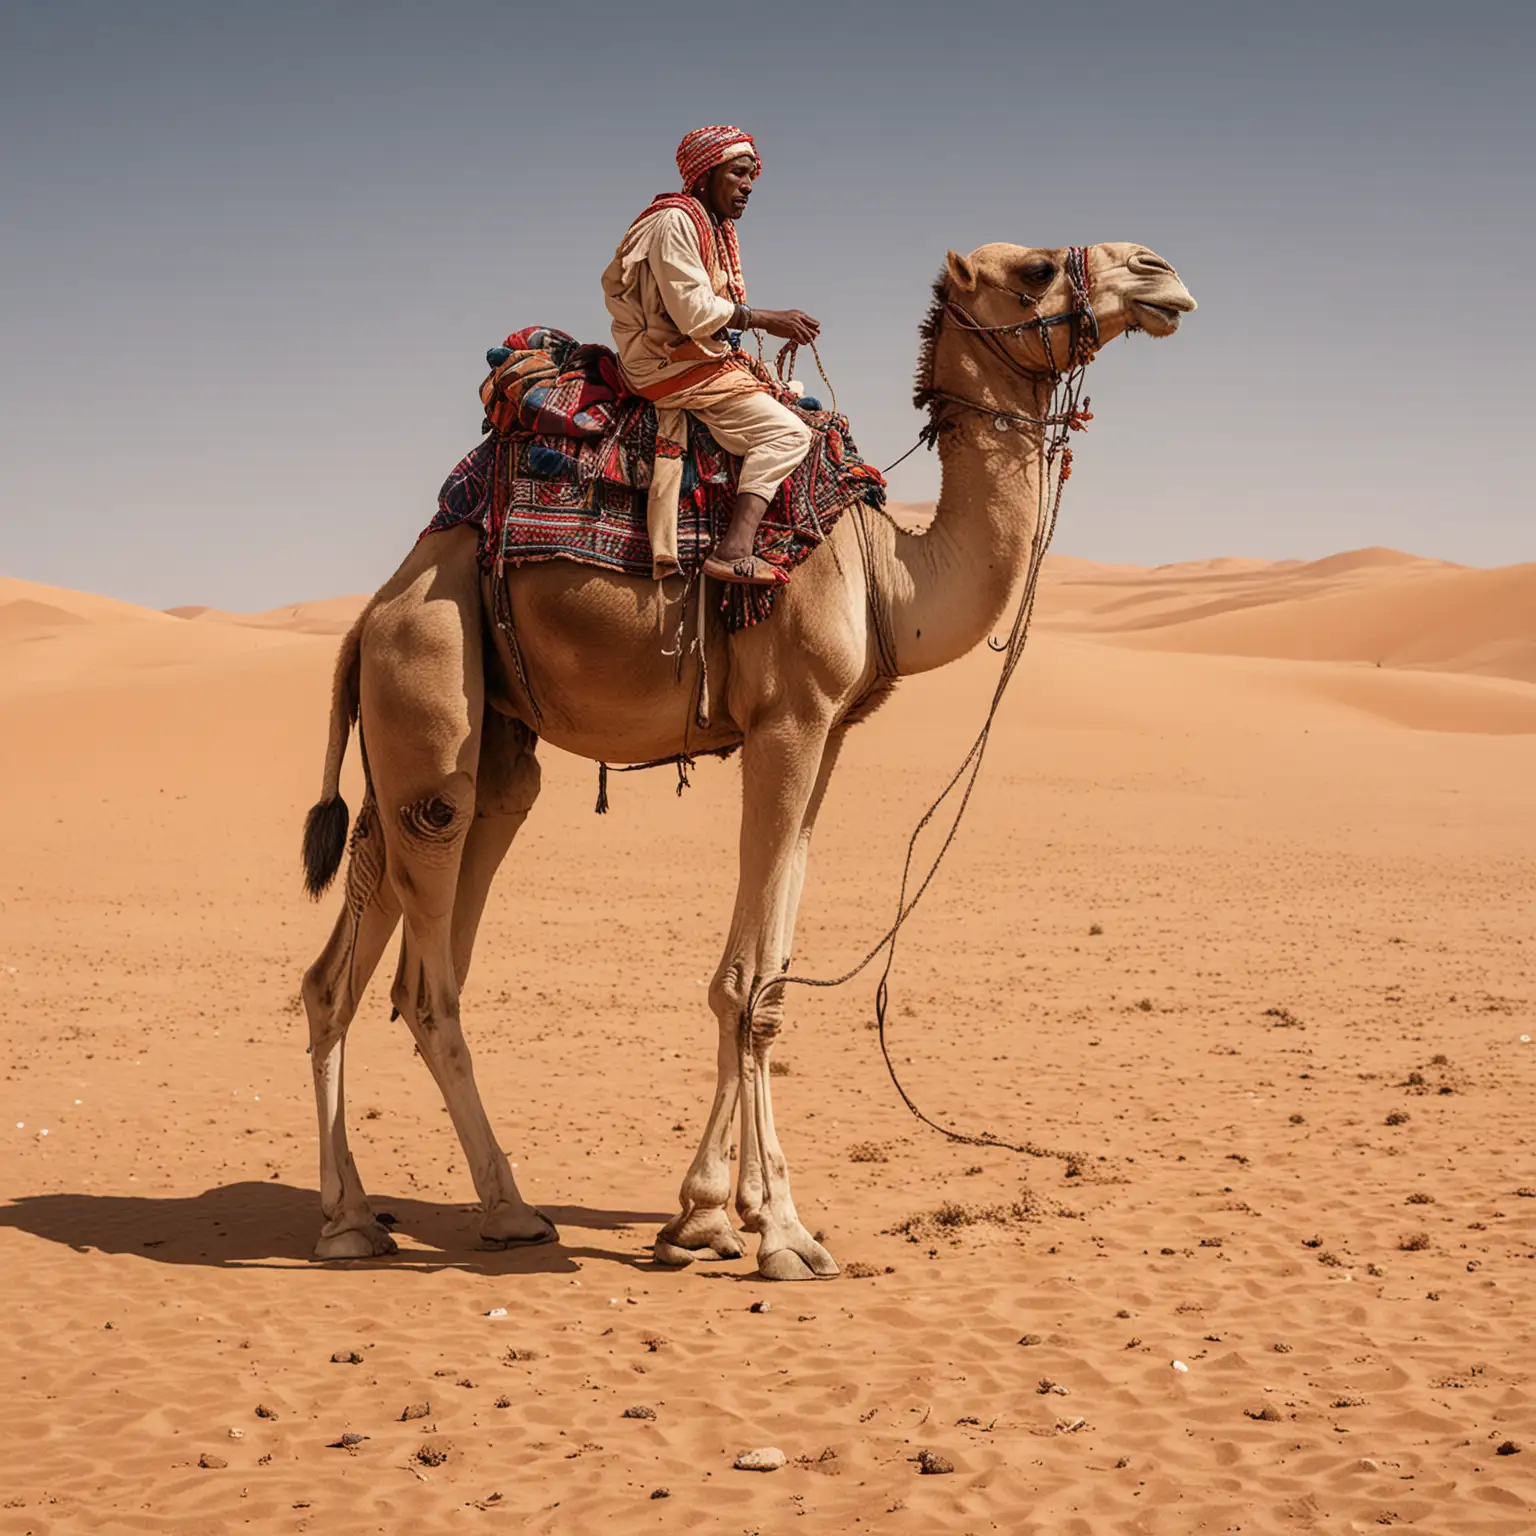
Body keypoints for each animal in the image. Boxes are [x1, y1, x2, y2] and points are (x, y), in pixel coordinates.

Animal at [296, 242, 1185, 1271]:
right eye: (1037, 268)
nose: (1162, 274)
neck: (888, 572)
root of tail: (371, 613)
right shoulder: (788, 722)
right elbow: (747, 989)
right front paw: (778, 1230)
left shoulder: (824, 739)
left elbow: (771, 974)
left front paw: (711, 1217)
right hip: (431, 688)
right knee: (428, 986)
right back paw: (508, 1211)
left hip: (456, 748)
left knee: (347, 968)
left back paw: (353, 1218)